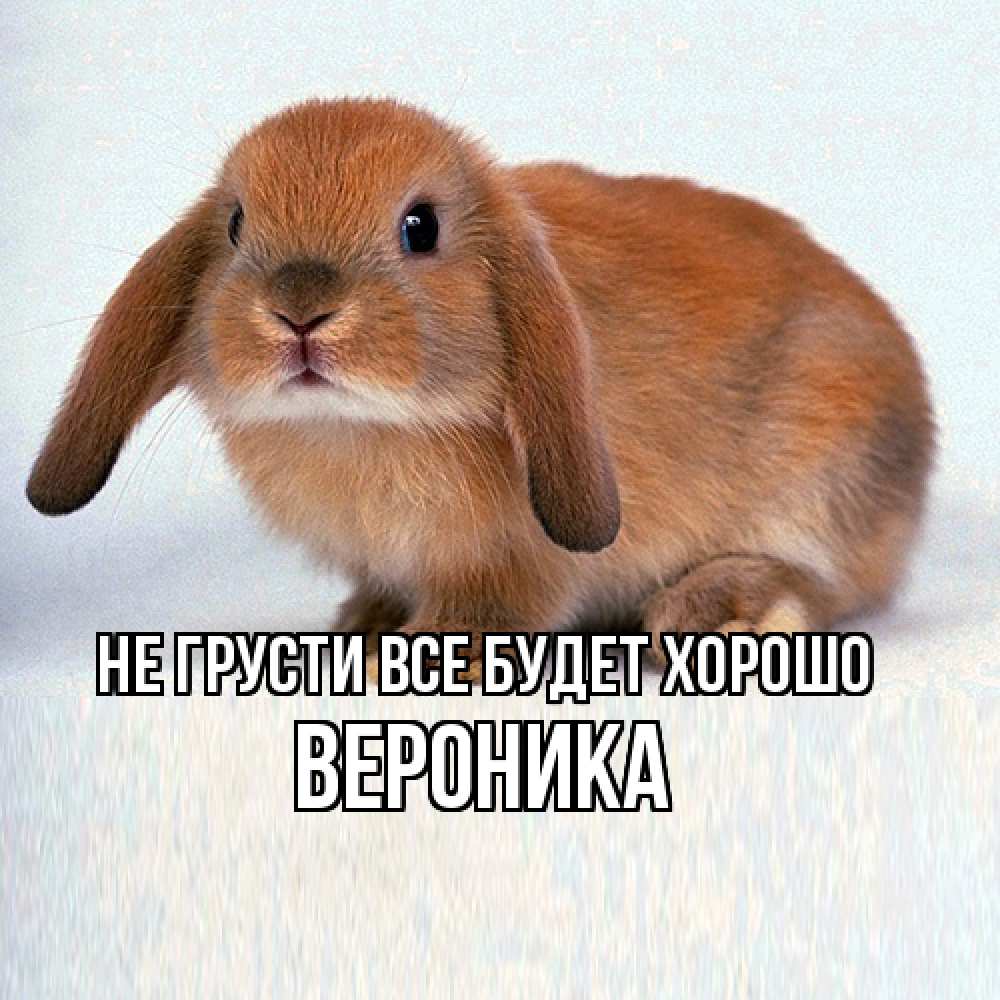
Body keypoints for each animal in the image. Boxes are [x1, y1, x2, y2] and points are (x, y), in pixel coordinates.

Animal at [27, 98, 934, 675]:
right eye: (237, 224)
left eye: (420, 227)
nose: (300, 311)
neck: (359, 428)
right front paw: (364, 628)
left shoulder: (518, 559)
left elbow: (498, 607)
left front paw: (424, 651)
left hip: (823, 473)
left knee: (825, 584)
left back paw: (716, 612)